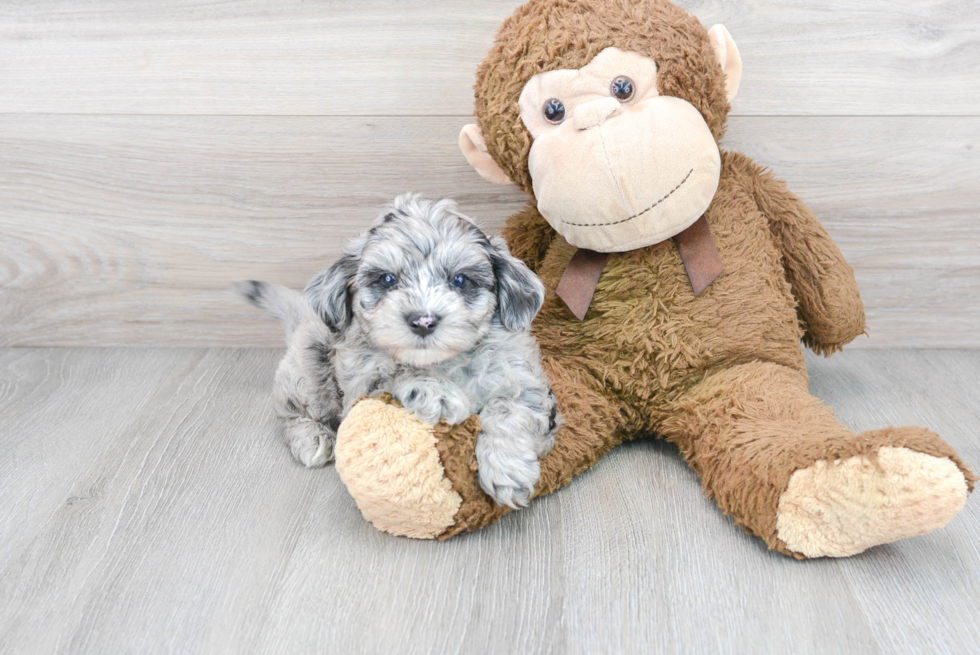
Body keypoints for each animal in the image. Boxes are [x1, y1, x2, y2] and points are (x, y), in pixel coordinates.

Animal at [237, 192, 560, 510]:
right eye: (387, 279)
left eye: (460, 280)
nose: (423, 321)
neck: (443, 362)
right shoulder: (360, 386)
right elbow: (395, 372)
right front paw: (435, 391)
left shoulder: (527, 383)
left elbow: (508, 409)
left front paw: (507, 469)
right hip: (307, 370)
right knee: (291, 414)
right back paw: (313, 438)